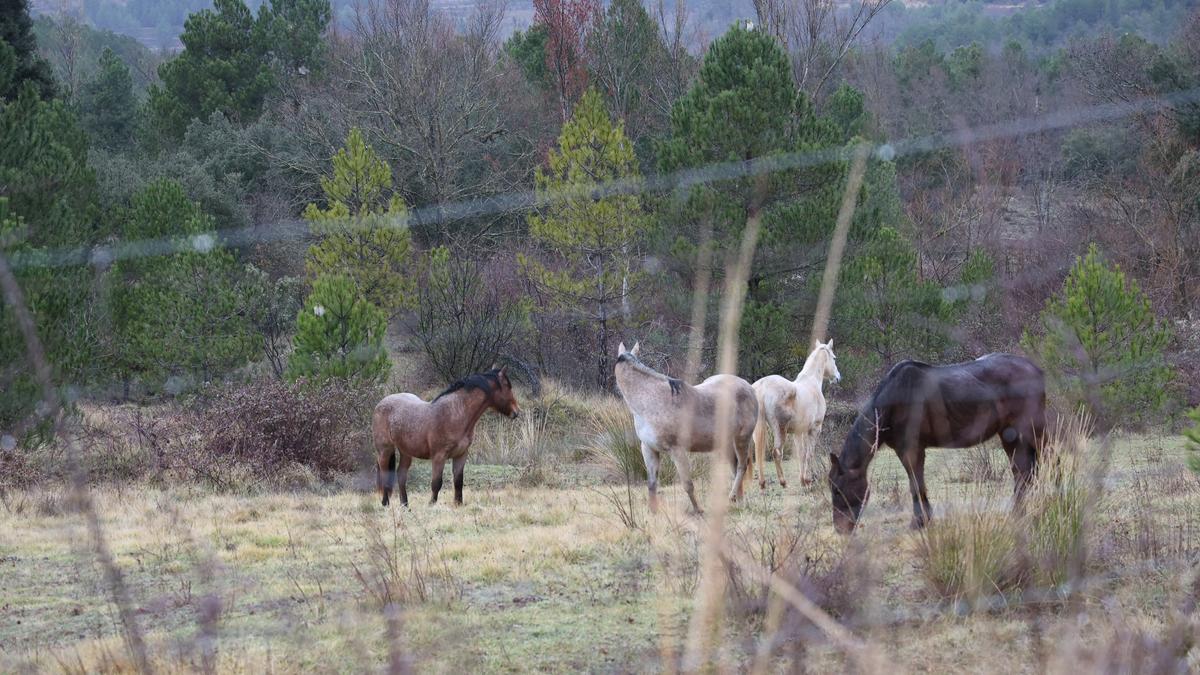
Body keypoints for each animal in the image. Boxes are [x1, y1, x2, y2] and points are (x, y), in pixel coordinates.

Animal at [369, 367, 520, 504]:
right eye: (508, 387)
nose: (516, 412)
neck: (455, 413)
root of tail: (380, 403)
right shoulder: (439, 456)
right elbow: (436, 483)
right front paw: (432, 504)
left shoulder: (461, 455)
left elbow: (458, 482)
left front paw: (458, 504)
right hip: (385, 451)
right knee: (384, 474)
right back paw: (385, 503)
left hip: (406, 452)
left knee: (401, 475)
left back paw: (405, 505)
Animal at [614, 341, 753, 509]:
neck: (650, 401)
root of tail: (749, 386)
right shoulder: (649, 449)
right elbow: (652, 484)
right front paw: (653, 512)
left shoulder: (677, 450)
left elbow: (687, 484)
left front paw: (698, 510)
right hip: (726, 442)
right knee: (735, 467)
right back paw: (739, 501)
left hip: (742, 439)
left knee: (742, 466)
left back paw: (732, 497)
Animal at [744, 338, 840, 485]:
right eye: (834, 358)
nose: (838, 377)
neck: (811, 383)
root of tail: (762, 386)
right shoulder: (814, 430)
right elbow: (809, 454)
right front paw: (807, 480)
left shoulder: (798, 432)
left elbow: (801, 454)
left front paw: (802, 481)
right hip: (780, 430)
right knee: (777, 452)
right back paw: (783, 482)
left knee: (758, 452)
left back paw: (762, 483)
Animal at [830, 355, 1046, 533]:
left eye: (837, 489)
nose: (841, 530)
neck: (896, 399)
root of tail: (1035, 369)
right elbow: (918, 484)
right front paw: (924, 520)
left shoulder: (911, 450)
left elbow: (916, 485)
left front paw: (918, 522)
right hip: (1010, 435)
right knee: (1022, 473)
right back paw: (1018, 513)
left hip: (1033, 432)